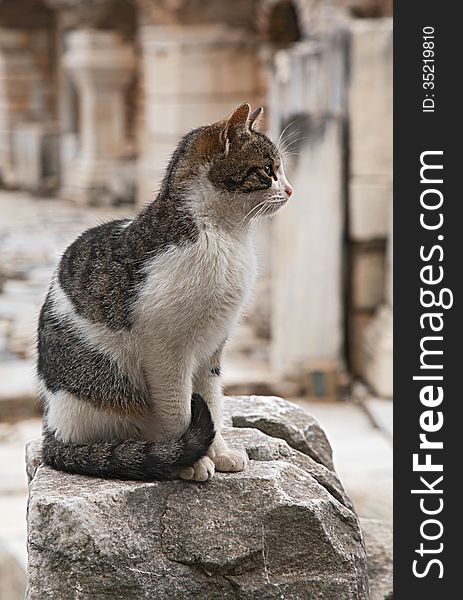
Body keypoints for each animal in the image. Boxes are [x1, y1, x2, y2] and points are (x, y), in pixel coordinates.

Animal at [39, 102, 294, 478]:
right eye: (268, 170)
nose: (290, 190)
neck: (225, 234)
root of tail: (52, 429)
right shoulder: (167, 351)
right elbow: (180, 410)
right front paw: (193, 460)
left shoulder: (213, 345)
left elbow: (212, 401)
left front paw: (219, 452)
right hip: (107, 386)